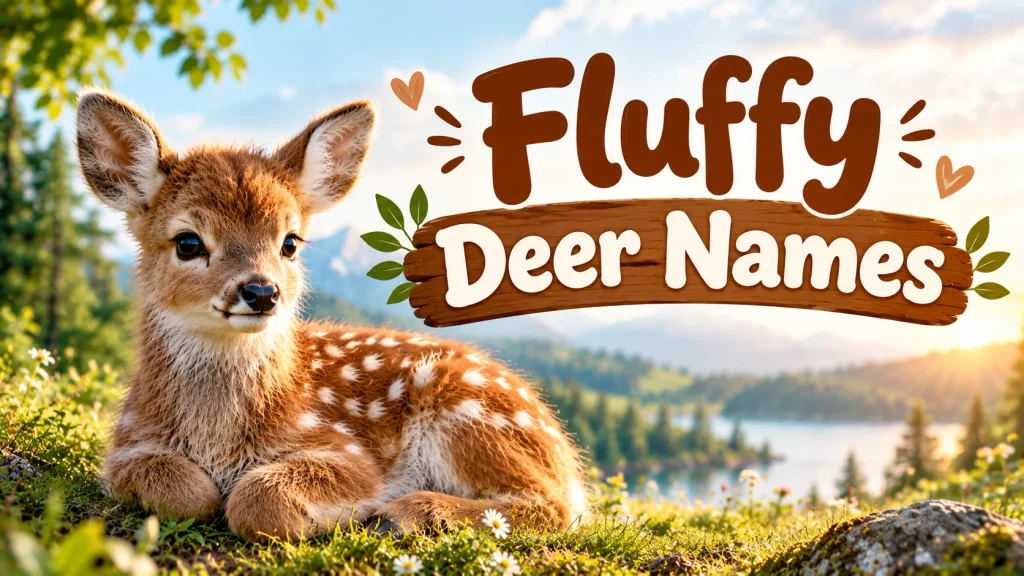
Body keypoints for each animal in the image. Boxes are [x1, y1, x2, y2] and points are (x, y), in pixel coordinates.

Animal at [75, 89, 589, 541]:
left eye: (290, 242)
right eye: (187, 242)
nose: (261, 291)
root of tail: (560, 445)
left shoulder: (347, 450)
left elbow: (258, 500)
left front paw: (351, 512)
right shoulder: (126, 444)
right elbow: (182, 492)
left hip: (469, 412)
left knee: (552, 506)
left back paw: (405, 514)